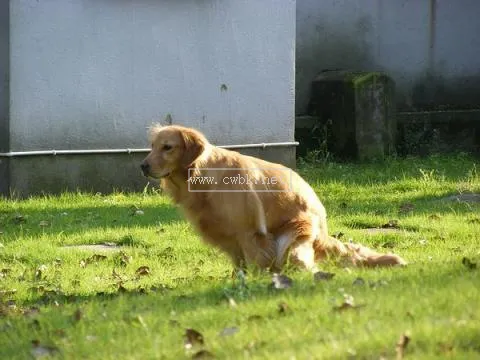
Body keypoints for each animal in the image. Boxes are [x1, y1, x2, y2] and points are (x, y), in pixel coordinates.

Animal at [141, 124, 406, 272]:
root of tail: (323, 232)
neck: (202, 177)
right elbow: (239, 267)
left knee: (304, 264)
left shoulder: (250, 232)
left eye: (167, 147)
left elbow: (255, 262)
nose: (143, 166)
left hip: (293, 237)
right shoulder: (230, 239)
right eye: (152, 146)